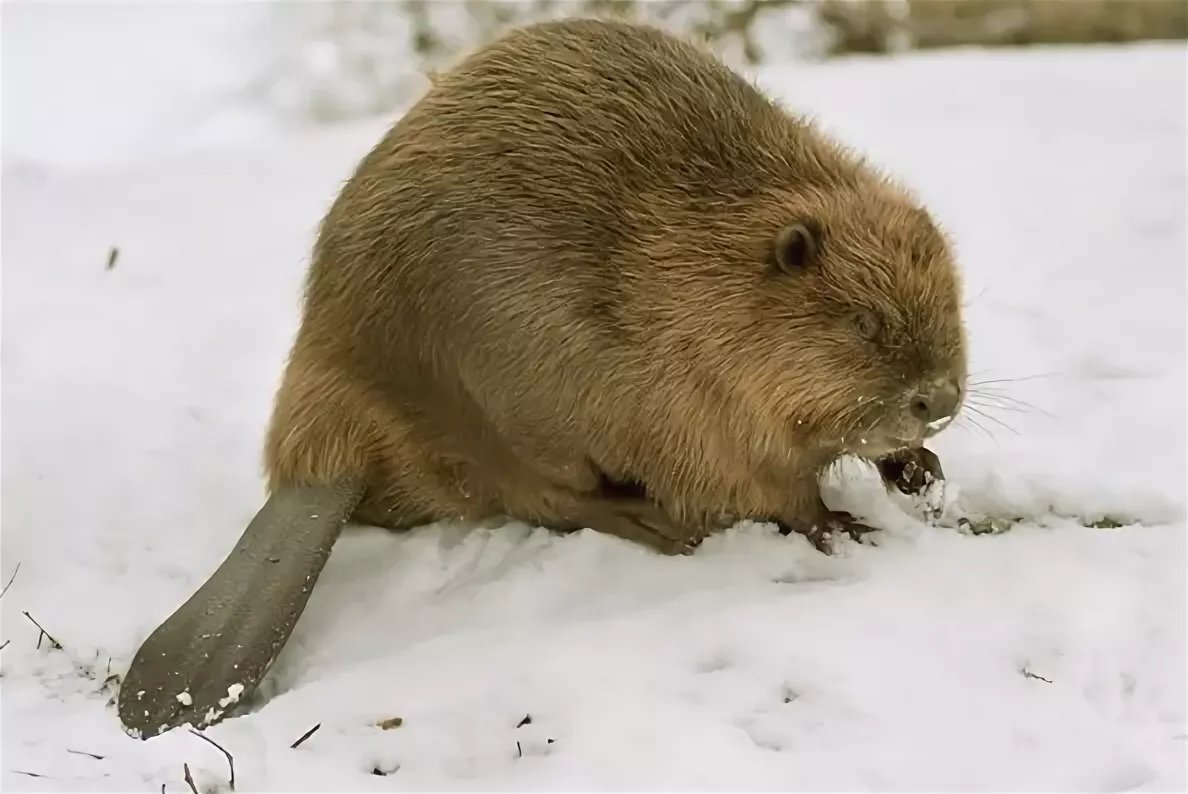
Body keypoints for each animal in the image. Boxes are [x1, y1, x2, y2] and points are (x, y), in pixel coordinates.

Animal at [118, 17, 964, 736]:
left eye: (951, 300)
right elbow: (761, 484)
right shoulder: (682, 394)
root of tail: (316, 466)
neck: (703, 267)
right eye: (865, 323)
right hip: (508, 411)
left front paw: (920, 470)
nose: (941, 399)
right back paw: (657, 524)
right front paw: (844, 525)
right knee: (545, 497)